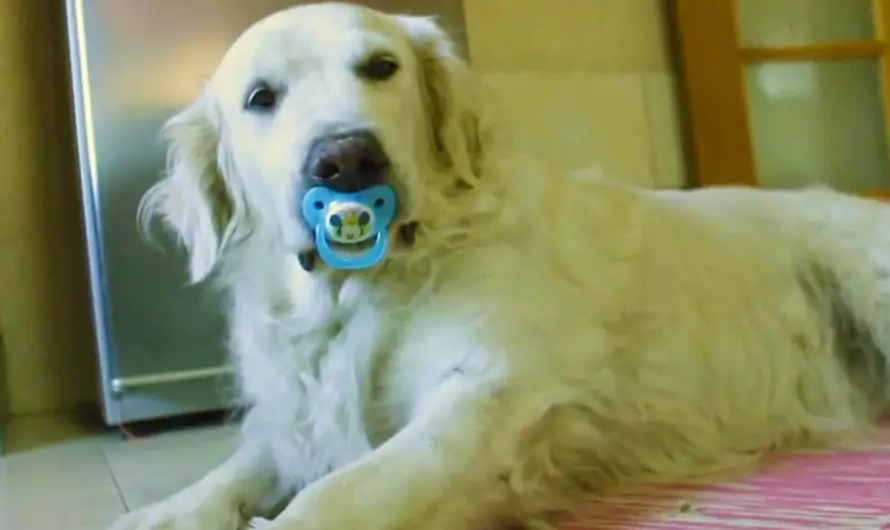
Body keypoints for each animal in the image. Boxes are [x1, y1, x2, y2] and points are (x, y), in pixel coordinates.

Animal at [111, 1, 888, 528]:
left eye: (381, 67)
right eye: (260, 98)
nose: (347, 159)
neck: (363, 292)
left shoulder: (493, 394)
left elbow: (339, 493)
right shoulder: (299, 409)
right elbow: (241, 467)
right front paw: (164, 512)